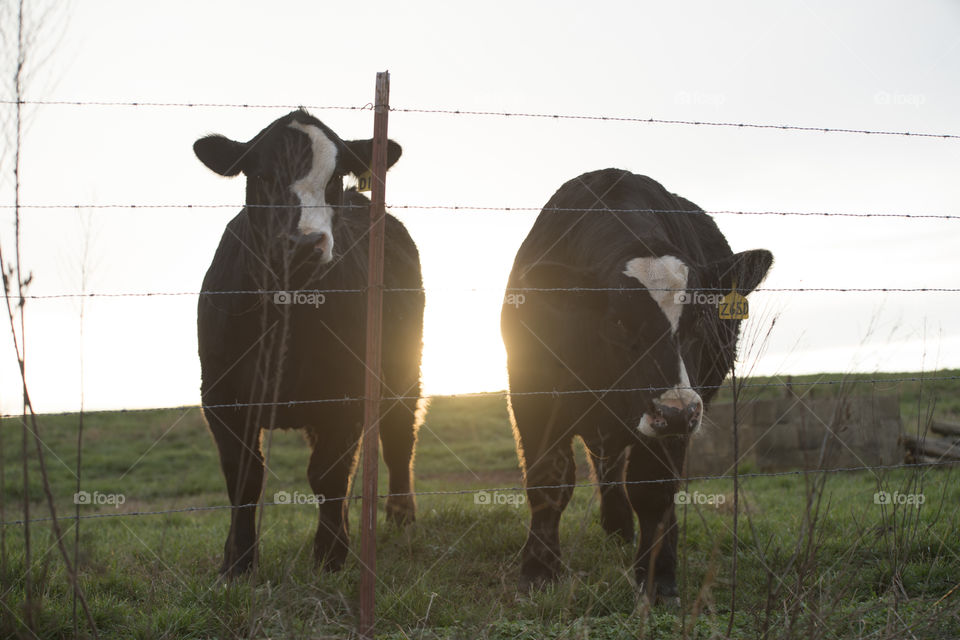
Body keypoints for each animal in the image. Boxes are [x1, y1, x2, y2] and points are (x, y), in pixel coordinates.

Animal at [193, 111, 422, 580]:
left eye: (334, 177)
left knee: (399, 439)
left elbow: (329, 474)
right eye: (262, 174)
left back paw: (401, 517)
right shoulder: (220, 395)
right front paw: (236, 562)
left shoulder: (349, 390)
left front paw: (330, 555)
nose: (303, 243)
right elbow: (245, 477)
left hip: (406, 373)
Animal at [502, 169, 772, 600]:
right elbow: (549, 480)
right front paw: (538, 571)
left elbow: (653, 490)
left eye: (701, 319)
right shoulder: (532, 392)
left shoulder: (675, 418)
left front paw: (657, 576)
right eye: (617, 321)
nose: (675, 412)